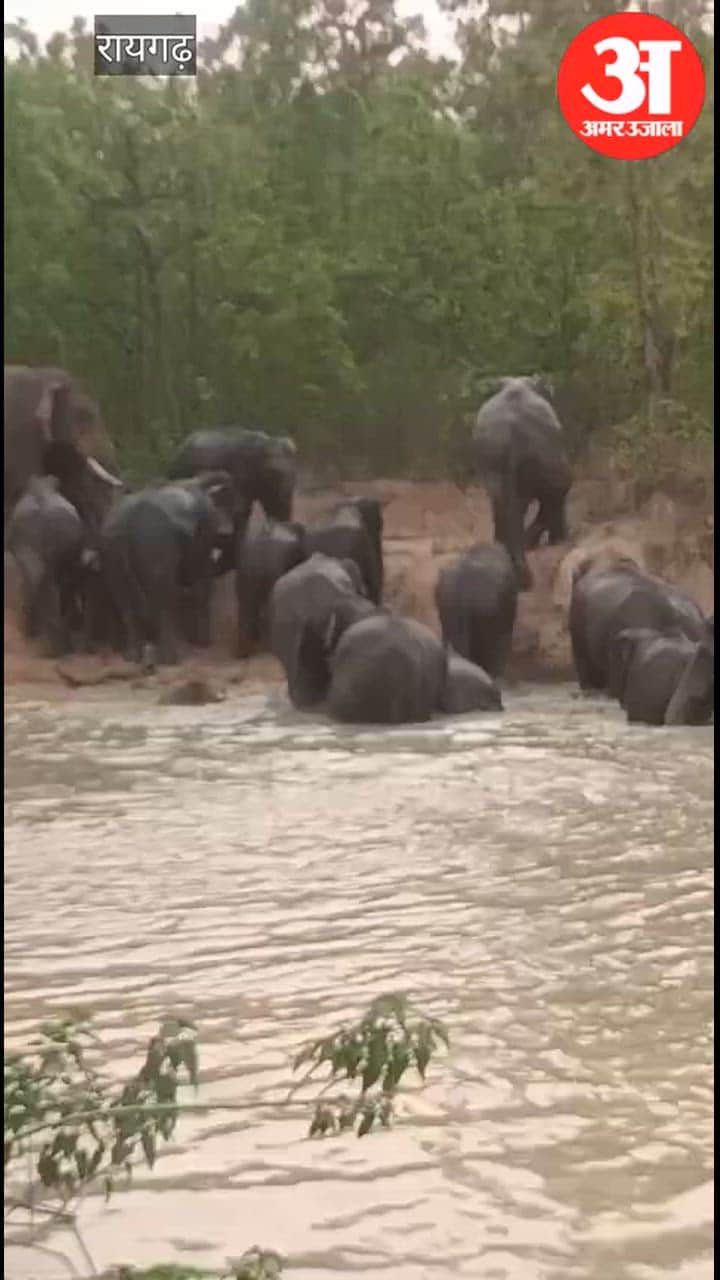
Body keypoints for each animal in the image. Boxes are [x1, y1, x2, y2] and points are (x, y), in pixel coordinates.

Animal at [99, 471, 234, 665]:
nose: (227, 533)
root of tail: (126, 521)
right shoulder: (203, 532)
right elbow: (201, 577)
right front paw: (202, 643)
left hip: (111, 548)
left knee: (124, 600)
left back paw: (132, 657)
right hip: (154, 541)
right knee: (163, 598)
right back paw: (169, 659)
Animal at [471, 376, 572, 589]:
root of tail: (511, 433)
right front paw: (556, 541)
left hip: (491, 461)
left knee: (504, 506)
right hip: (545, 453)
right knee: (550, 495)